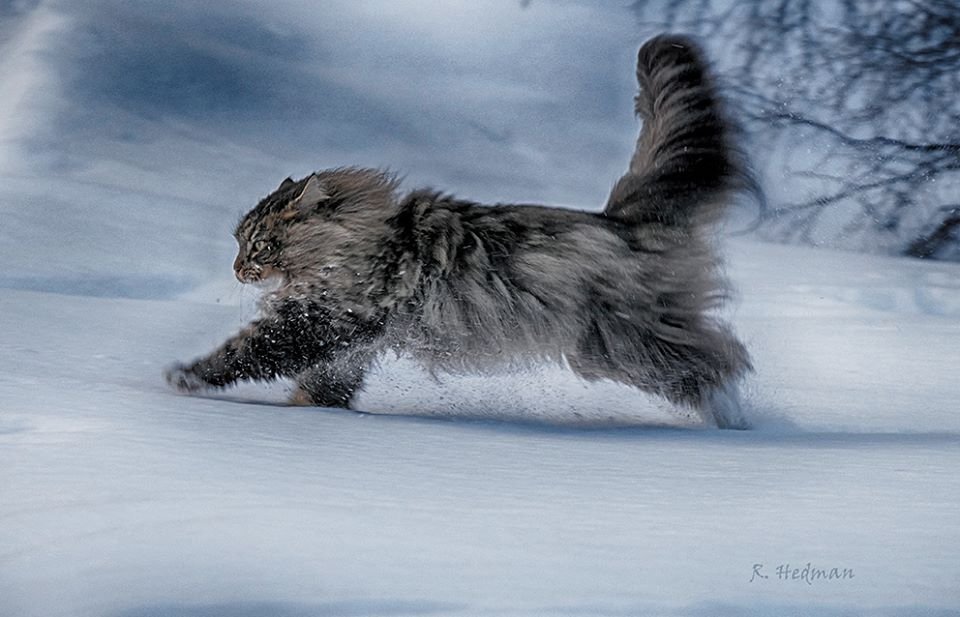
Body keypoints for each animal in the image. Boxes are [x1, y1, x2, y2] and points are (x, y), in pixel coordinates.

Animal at [163, 33, 752, 428]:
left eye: (261, 245)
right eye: (239, 243)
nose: (237, 269)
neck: (367, 238)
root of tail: (620, 221)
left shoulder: (324, 319)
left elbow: (243, 352)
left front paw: (182, 376)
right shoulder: (346, 345)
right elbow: (322, 387)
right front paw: (309, 412)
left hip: (621, 342)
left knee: (719, 359)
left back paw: (735, 423)